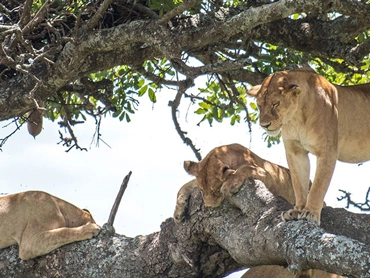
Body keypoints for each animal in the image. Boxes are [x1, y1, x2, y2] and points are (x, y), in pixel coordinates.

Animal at [173, 144, 342, 278]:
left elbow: (245, 168)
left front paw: (230, 184)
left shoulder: (264, 174)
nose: (209, 205)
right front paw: (178, 212)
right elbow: (186, 185)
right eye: (202, 190)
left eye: (215, 190)